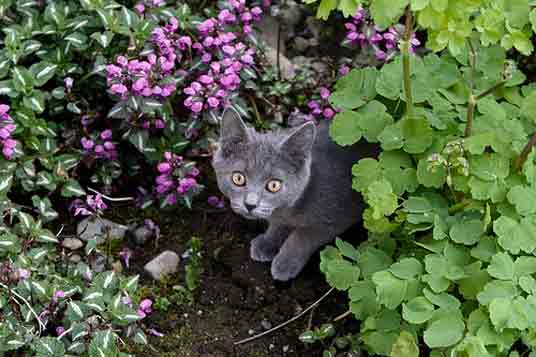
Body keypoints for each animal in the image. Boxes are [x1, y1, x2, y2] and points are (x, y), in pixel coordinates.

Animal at [211, 107, 378, 280]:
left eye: (273, 185)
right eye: (238, 178)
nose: (250, 205)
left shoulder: (336, 218)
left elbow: (302, 236)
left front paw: (285, 262)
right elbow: (278, 224)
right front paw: (267, 242)